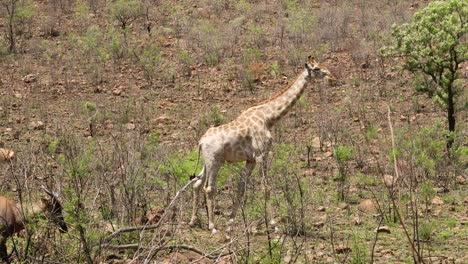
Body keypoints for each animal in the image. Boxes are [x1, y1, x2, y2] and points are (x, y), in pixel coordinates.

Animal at [190, 55, 336, 233]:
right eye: (316, 68)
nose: (332, 78)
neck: (268, 118)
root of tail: (201, 141)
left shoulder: (250, 160)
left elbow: (241, 188)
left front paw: (231, 222)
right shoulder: (262, 155)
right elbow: (266, 187)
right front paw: (274, 225)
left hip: (207, 162)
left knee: (197, 184)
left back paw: (193, 221)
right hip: (215, 161)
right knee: (209, 187)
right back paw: (212, 226)